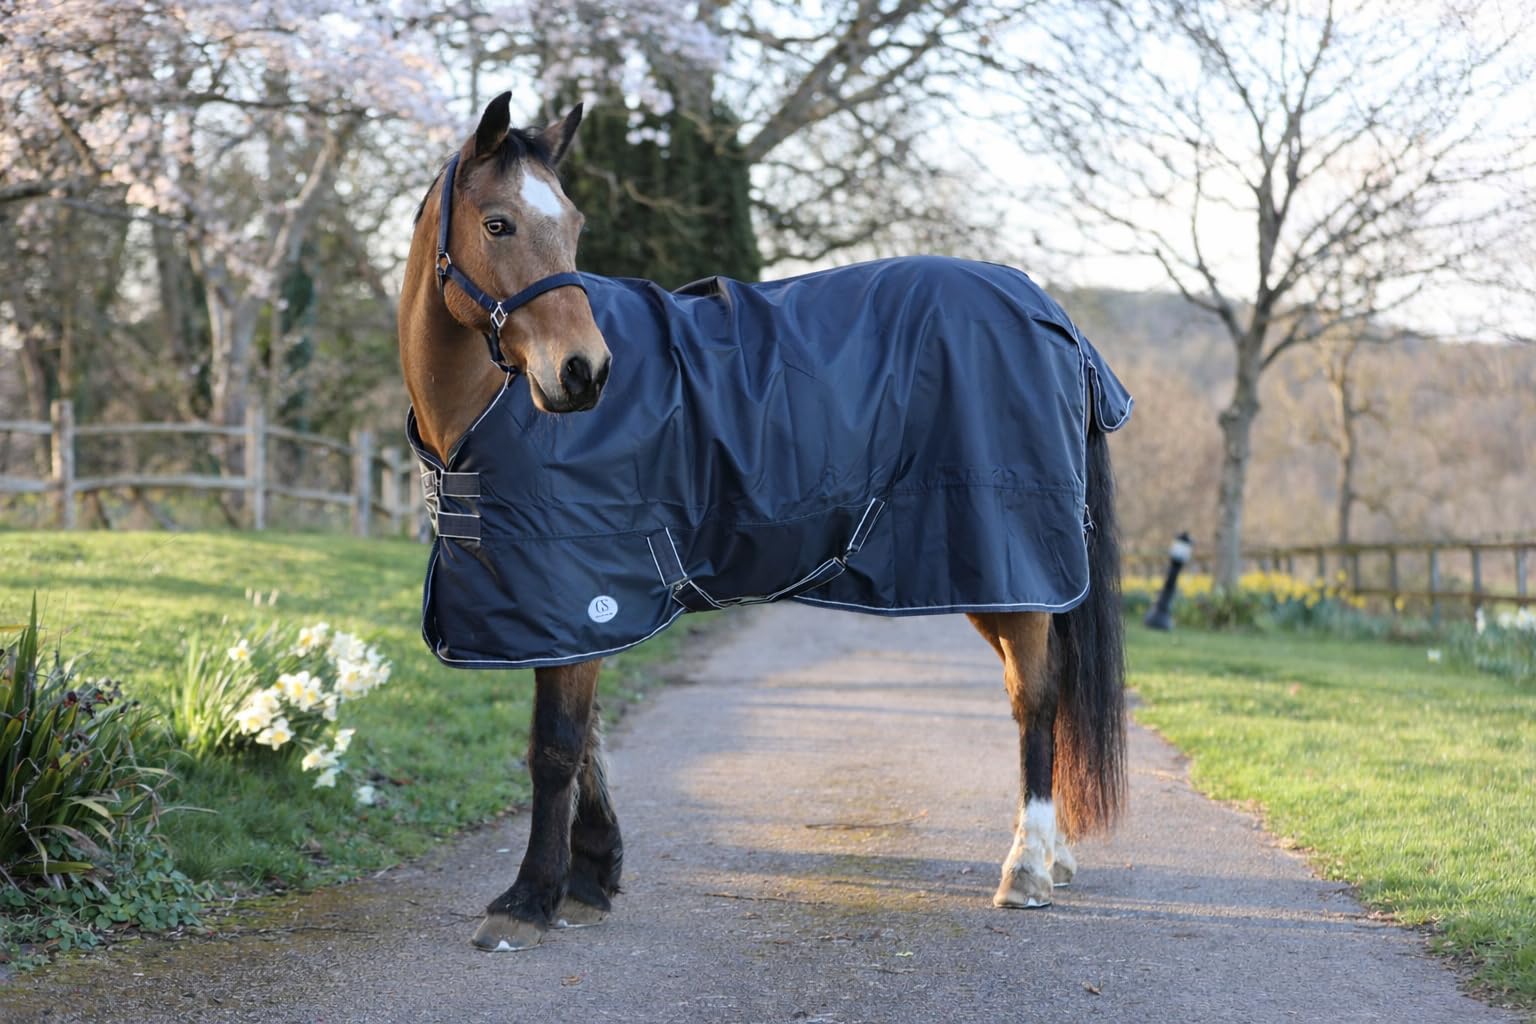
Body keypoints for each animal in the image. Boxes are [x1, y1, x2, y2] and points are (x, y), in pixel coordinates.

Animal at [398, 92, 1130, 952]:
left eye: (573, 225)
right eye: (499, 224)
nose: (584, 372)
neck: (486, 412)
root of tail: (1053, 316)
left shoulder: (581, 592)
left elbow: (555, 749)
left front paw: (529, 898)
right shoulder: (580, 611)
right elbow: (591, 741)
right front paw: (592, 874)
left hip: (1009, 567)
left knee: (1036, 699)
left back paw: (1026, 868)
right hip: (1002, 577)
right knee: (1052, 690)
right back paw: (1055, 855)